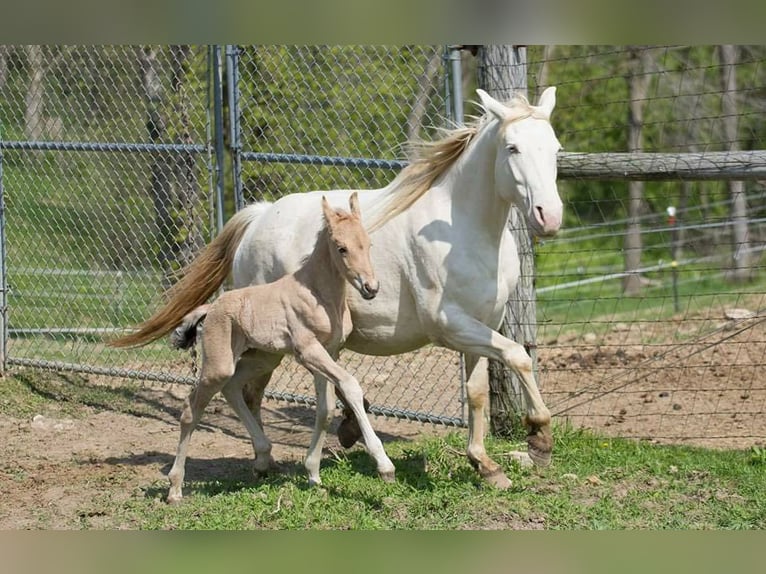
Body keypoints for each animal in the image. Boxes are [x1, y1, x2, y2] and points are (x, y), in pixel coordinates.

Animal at [168, 194, 396, 504]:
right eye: (342, 248)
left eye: (368, 244)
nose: (371, 288)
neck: (319, 294)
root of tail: (211, 307)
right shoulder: (308, 350)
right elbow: (350, 386)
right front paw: (384, 466)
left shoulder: (329, 352)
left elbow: (325, 409)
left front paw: (313, 475)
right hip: (219, 364)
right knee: (191, 410)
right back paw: (174, 489)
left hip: (261, 359)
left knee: (233, 387)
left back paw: (263, 457)